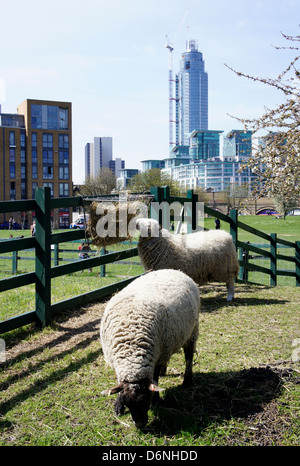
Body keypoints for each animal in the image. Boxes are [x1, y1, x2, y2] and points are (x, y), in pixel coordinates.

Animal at [99, 270, 200, 430]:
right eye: (128, 403)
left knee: (189, 356)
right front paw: (118, 405)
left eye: (147, 401)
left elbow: (155, 378)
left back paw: (187, 381)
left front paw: (157, 399)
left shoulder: (157, 358)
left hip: (191, 331)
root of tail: (172, 270)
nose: (140, 425)